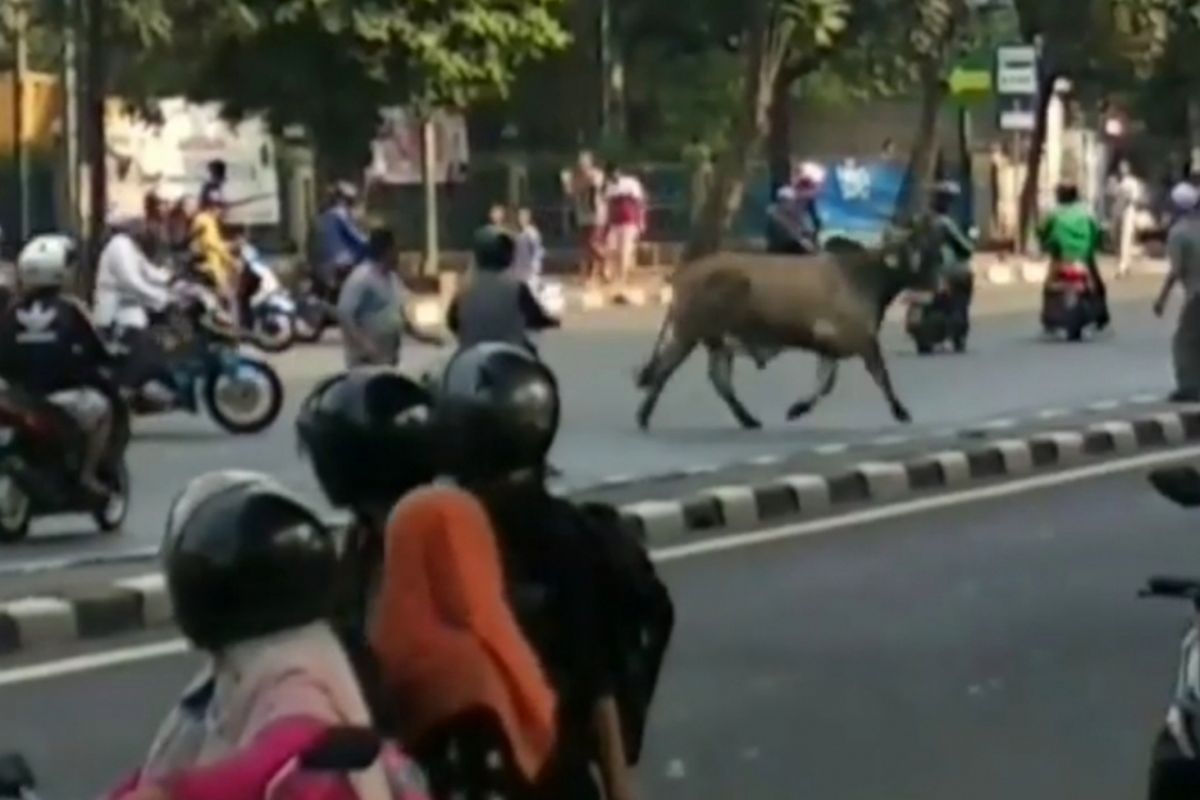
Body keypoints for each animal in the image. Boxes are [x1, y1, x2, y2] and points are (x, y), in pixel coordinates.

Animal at [633, 217, 950, 431]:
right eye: (924, 251)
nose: (941, 285)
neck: (866, 276)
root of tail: (684, 274)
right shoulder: (862, 339)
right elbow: (880, 375)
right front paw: (901, 411)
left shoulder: (830, 347)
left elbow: (825, 384)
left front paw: (798, 408)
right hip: (689, 333)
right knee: (665, 370)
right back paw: (643, 416)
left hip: (717, 341)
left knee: (719, 380)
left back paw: (748, 419)